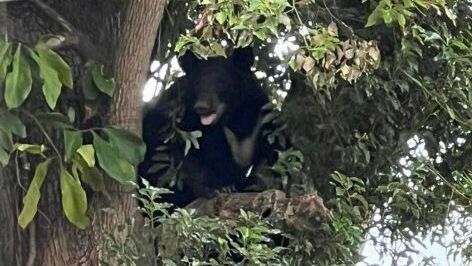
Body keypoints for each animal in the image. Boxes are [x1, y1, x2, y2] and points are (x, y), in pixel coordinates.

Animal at [138, 47, 274, 208]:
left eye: (222, 82)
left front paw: (253, 183)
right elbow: (186, 157)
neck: (231, 119)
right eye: (197, 84)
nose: (202, 107)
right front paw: (215, 188)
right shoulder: (178, 119)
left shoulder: (260, 118)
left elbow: (266, 153)